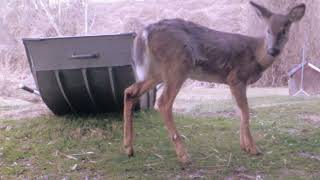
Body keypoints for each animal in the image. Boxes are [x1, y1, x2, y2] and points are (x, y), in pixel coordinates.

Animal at [122, 1, 304, 165]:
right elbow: (245, 112)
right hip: (177, 65)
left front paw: (244, 146)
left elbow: (239, 111)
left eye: (285, 29)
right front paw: (253, 148)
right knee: (163, 102)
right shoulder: (236, 77)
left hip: (158, 72)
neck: (256, 55)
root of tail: (145, 33)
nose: (273, 50)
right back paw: (183, 155)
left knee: (130, 91)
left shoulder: (234, 82)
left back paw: (128, 148)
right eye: (268, 30)